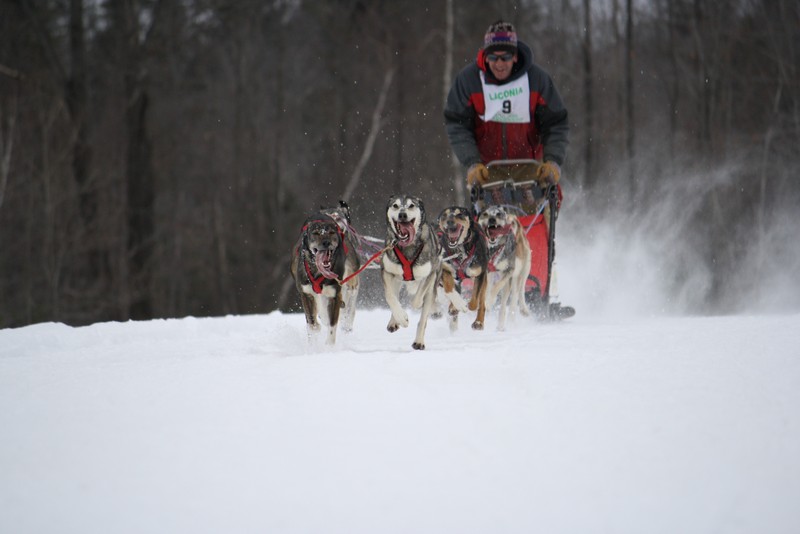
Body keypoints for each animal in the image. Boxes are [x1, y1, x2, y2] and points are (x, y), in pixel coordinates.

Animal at [382, 195, 468, 350]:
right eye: (395, 206)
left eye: (411, 205)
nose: (402, 215)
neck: (408, 247)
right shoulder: (387, 272)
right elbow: (390, 297)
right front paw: (401, 317)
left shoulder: (430, 275)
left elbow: (417, 301)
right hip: (398, 279)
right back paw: (395, 321)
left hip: (436, 272)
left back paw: (419, 341)